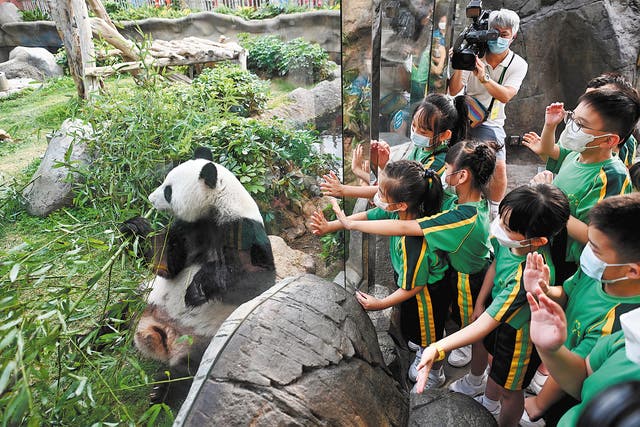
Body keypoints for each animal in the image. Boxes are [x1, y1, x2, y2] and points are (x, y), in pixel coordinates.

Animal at [124, 147, 276, 408]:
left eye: (168, 190)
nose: (151, 199)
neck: (217, 208)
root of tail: (163, 331)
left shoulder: (243, 231)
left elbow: (257, 280)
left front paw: (198, 288)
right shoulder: (190, 228)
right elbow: (167, 265)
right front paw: (136, 228)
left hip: (204, 343)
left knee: (186, 374)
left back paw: (159, 395)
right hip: (144, 299)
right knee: (116, 316)